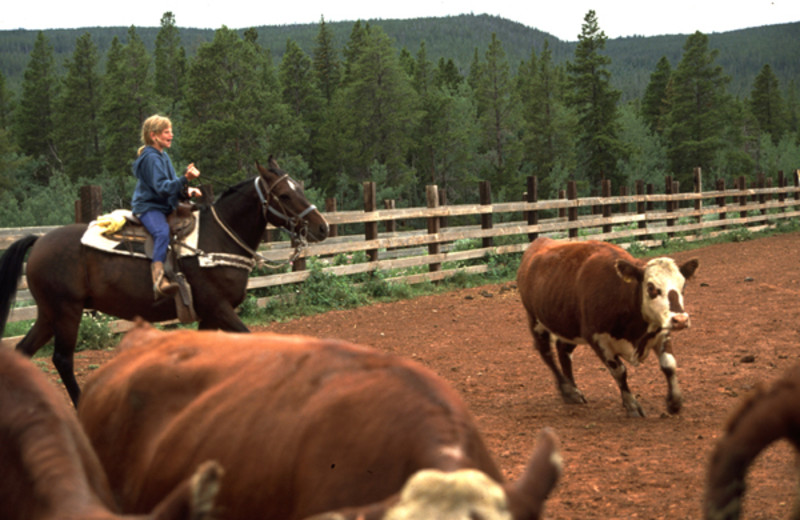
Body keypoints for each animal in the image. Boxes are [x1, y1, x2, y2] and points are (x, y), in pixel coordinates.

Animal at [0, 158, 328, 406]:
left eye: (298, 187)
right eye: (284, 195)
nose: (322, 227)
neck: (215, 240)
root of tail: (40, 241)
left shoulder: (208, 315)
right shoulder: (219, 308)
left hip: (49, 313)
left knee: (24, 352)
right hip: (67, 310)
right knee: (63, 360)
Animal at [516, 238, 696, 416]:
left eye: (684, 286)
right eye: (651, 287)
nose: (680, 319)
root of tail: (539, 242)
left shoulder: (661, 330)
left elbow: (669, 364)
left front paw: (674, 401)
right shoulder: (597, 339)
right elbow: (619, 371)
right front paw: (631, 405)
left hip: (569, 325)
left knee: (563, 351)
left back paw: (574, 389)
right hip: (535, 320)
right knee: (546, 352)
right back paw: (567, 390)